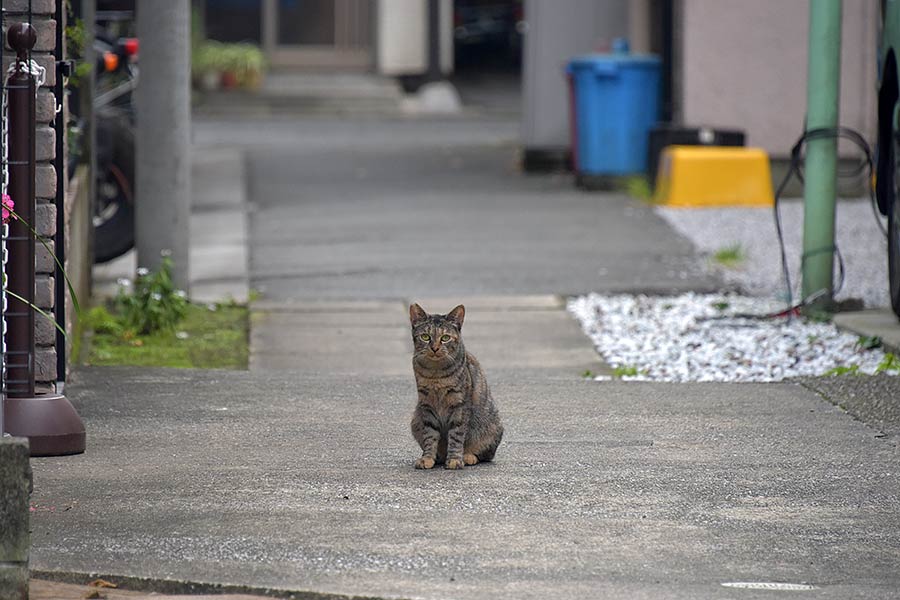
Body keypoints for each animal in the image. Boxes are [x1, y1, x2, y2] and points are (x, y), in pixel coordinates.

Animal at [410, 304, 502, 468]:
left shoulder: (459, 405)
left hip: (491, 428)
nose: (434, 348)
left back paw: (468, 456)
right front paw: (427, 458)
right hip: (415, 420)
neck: (436, 373)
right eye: (425, 337)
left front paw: (454, 459)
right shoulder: (427, 405)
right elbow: (430, 436)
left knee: (485, 455)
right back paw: (439, 457)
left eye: (445, 338)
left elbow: (456, 436)